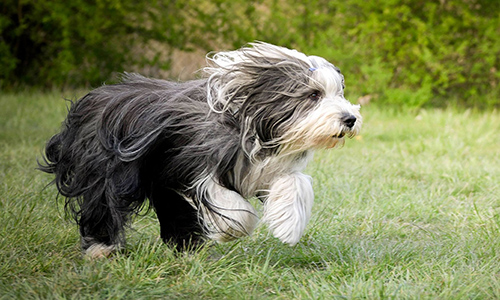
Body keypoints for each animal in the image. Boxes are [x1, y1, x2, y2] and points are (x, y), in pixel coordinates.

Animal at [38, 42, 360, 258]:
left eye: (339, 93)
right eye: (313, 95)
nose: (350, 119)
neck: (250, 122)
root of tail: (91, 100)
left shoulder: (264, 169)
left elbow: (295, 183)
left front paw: (288, 225)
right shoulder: (191, 162)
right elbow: (225, 200)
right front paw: (234, 228)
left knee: (172, 209)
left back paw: (185, 247)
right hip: (108, 169)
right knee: (102, 203)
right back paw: (100, 249)